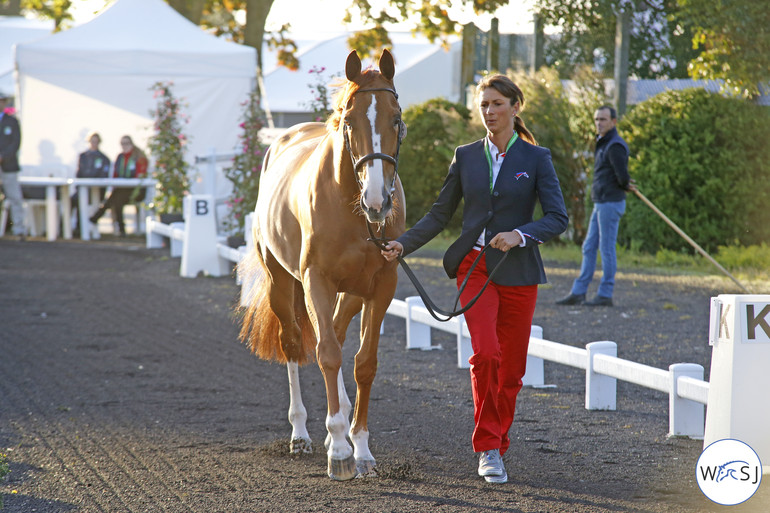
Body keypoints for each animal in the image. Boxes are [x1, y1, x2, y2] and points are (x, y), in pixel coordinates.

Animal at [238, 50, 408, 478]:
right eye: (349, 121)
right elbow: (327, 354)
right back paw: (301, 434)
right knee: (296, 344)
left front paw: (360, 448)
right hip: (282, 285)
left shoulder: (381, 285)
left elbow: (364, 363)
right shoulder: (316, 280)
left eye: (395, 119)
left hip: (349, 293)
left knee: (333, 334)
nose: (377, 202)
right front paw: (341, 454)